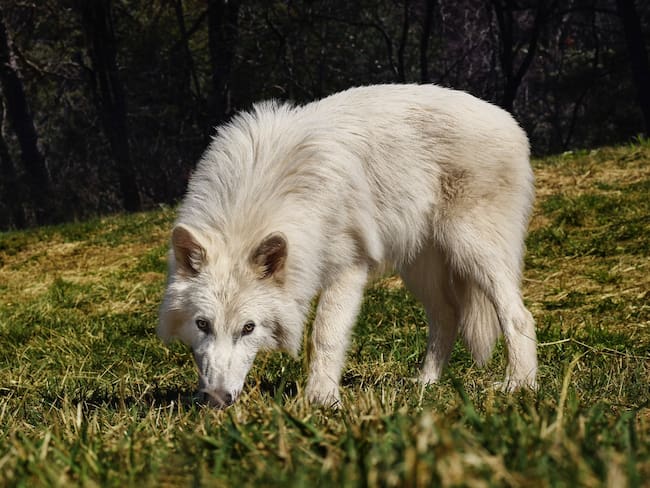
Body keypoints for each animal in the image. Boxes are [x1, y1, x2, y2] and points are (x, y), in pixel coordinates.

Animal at [157, 84, 537, 408]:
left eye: (248, 328)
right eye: (202, 324)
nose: (216, 400)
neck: (260, 195)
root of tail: (509, 120)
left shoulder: (348, 269)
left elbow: (325, 335)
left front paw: (322, 399)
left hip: (473, 252)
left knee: (518, 315)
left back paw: (520, 384)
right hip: (420, 269)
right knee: (447, 316)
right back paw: (426, 383)